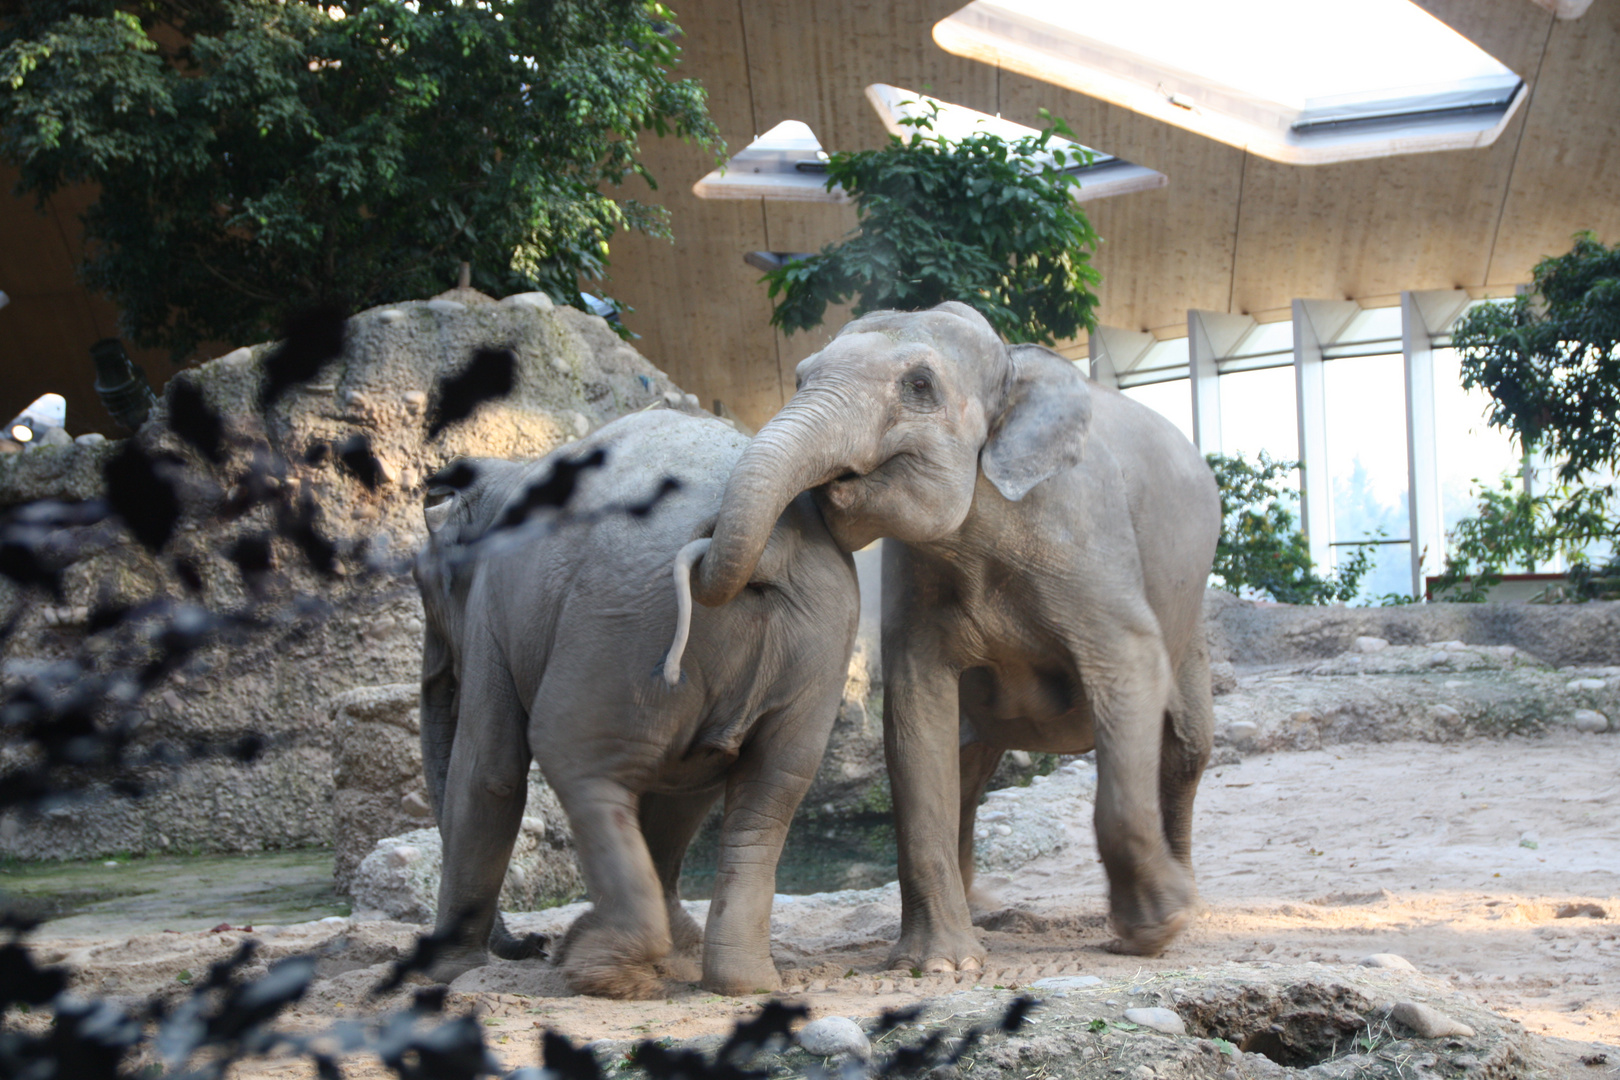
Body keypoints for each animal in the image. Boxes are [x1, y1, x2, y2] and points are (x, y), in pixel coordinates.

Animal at [414, 409, 861, 1003]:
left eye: (424, 588)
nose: (532, 941)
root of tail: (766, 546)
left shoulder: (491, 614)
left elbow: (489, 774)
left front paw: (448, 972)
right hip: (815, 652)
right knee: (766, 786)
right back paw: (740, 980)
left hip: (622, 623)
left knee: (570, 755)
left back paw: (603, 968)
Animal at [690, 299, 1218, 965]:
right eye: (801, 376)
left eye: (920, 386)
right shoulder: (916, 574)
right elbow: (918, 716)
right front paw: (938, 964)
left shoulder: (1087, 536)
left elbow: (1129, 667)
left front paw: (1152, 933)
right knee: (969, 768)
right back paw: (985, 917)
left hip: (1192, 616)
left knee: (1186, 749)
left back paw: (1189, 906)